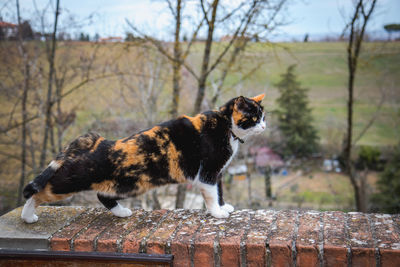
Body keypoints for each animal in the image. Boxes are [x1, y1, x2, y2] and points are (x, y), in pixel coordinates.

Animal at [21, 94, 266, 224]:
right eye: (254, 118)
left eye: (264, 116)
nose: (264, 126)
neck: (225, 125)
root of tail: (98, 141)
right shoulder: (208, 172)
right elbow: (212, 195)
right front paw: (217, 213)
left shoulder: (219, 173)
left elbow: (220, 191)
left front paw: (225, 207)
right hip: (71, 181)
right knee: (39, 191)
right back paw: (27, 216)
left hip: (123, 185)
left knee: (103, 195)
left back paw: (121, 212)